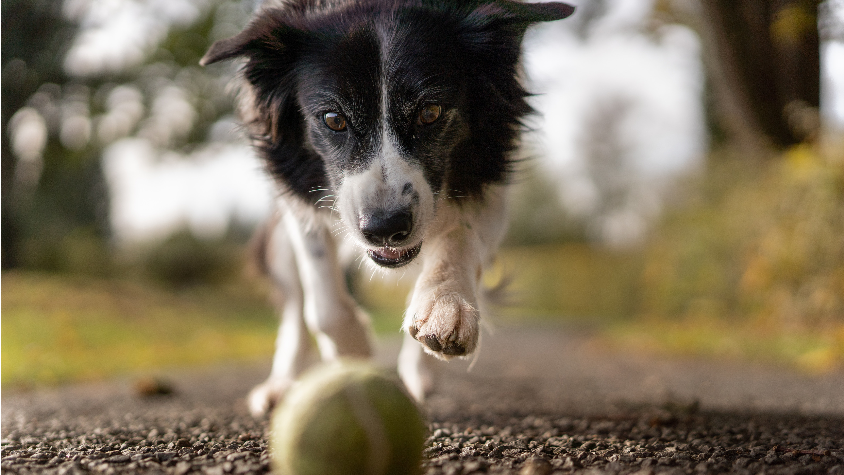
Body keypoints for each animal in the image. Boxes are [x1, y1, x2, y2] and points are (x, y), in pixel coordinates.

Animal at [202, 0, 572, 416]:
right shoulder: (297, 194)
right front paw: (354, 354)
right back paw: (281, 386)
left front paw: (445, 308)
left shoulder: (491, 175)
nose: (384, 228)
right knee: (296, 305)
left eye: (430, 112)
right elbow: (322, 302)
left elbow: (459, 239)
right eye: (334, 119)